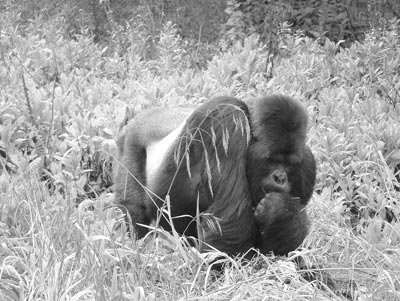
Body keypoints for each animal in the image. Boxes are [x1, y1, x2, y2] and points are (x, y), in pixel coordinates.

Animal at [113, 94, 316, 255]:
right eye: (272, 160)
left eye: (289, 164)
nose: (280, 178)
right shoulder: (228, 121)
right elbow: (230, 222)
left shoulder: (306, 165)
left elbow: (279, 251)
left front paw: (280, 210)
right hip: (131, 141)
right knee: (134, 210)